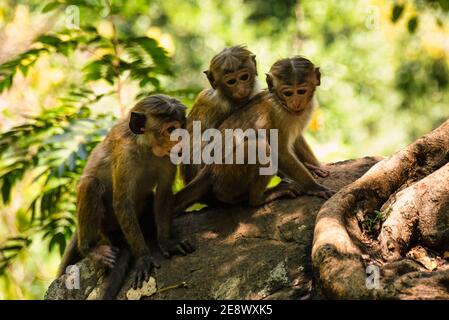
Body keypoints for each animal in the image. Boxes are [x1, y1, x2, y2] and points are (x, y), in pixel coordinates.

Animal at [58, 94, 194, 298]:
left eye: (181, 127)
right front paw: (143, 258)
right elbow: (122, 202)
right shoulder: (125, 153)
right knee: (90, 184)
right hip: (105, 224)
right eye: (170, 129)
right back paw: (90, 248)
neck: (146, 147)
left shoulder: (169, 156)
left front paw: (166, 241)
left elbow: (163, 192)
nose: (180, 140)